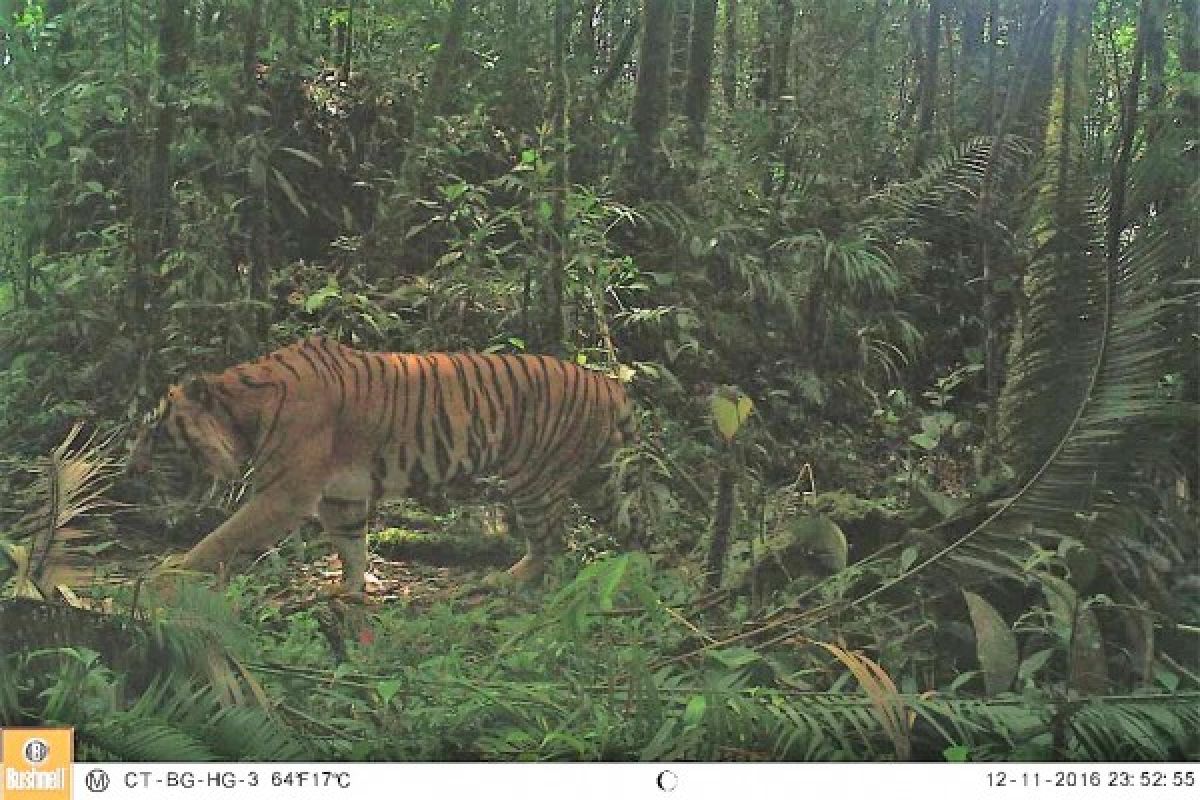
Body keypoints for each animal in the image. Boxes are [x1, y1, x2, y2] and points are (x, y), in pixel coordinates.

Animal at [129, 335, 638, 592]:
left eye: (154, 433)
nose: (129, 472)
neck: (243, 411)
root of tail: (610, 383)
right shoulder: (341, 494)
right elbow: (352, 545)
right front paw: (352, 590)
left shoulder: (285, 494)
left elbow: (220, 537)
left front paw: (171, 572)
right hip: (595, 478)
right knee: (630, 526)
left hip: (536, 482)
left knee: (552, 542)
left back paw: (507, 581)